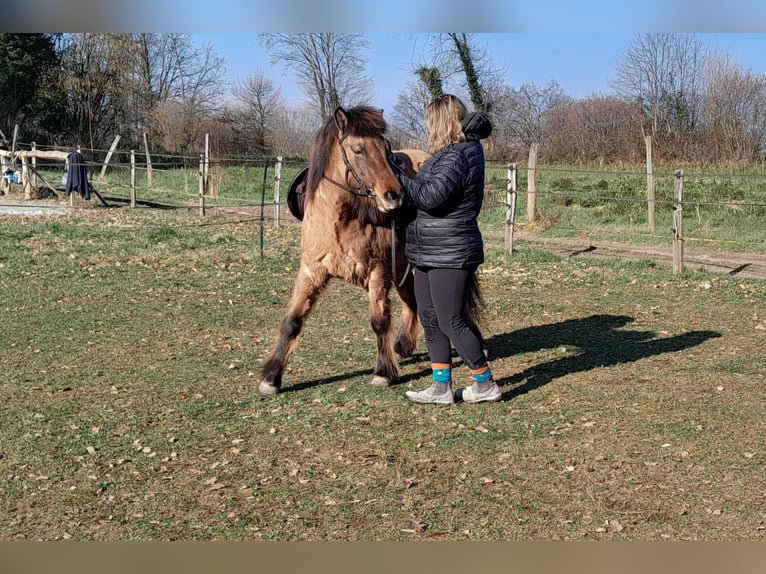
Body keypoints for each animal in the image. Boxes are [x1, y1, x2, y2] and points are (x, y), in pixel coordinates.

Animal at [259, 105, 428, 396]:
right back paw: (404, 344)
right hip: (401, 265)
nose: (395, 195)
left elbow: (379, 322)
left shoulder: (378, 270)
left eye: (386, 149)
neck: (340, 219)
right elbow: (292, 321)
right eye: (358, 150)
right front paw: (271, 377)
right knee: (411, 300)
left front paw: (383, 372)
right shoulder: (311, 270)